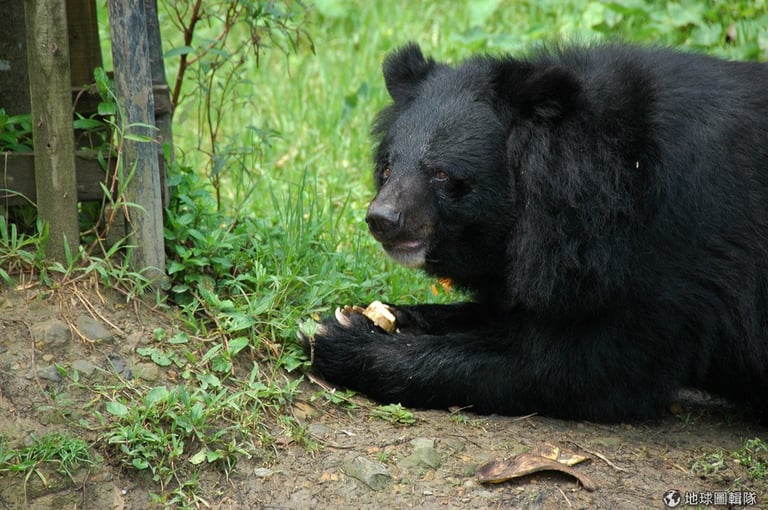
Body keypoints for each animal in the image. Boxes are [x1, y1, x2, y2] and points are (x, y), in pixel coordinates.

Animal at [304, 40, 768, 422]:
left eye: (440, 174)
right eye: (387, 167)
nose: (382, 218)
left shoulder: (665, 250)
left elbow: (582, 366)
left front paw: (343, 342)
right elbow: (505, 313)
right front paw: (370, 317)